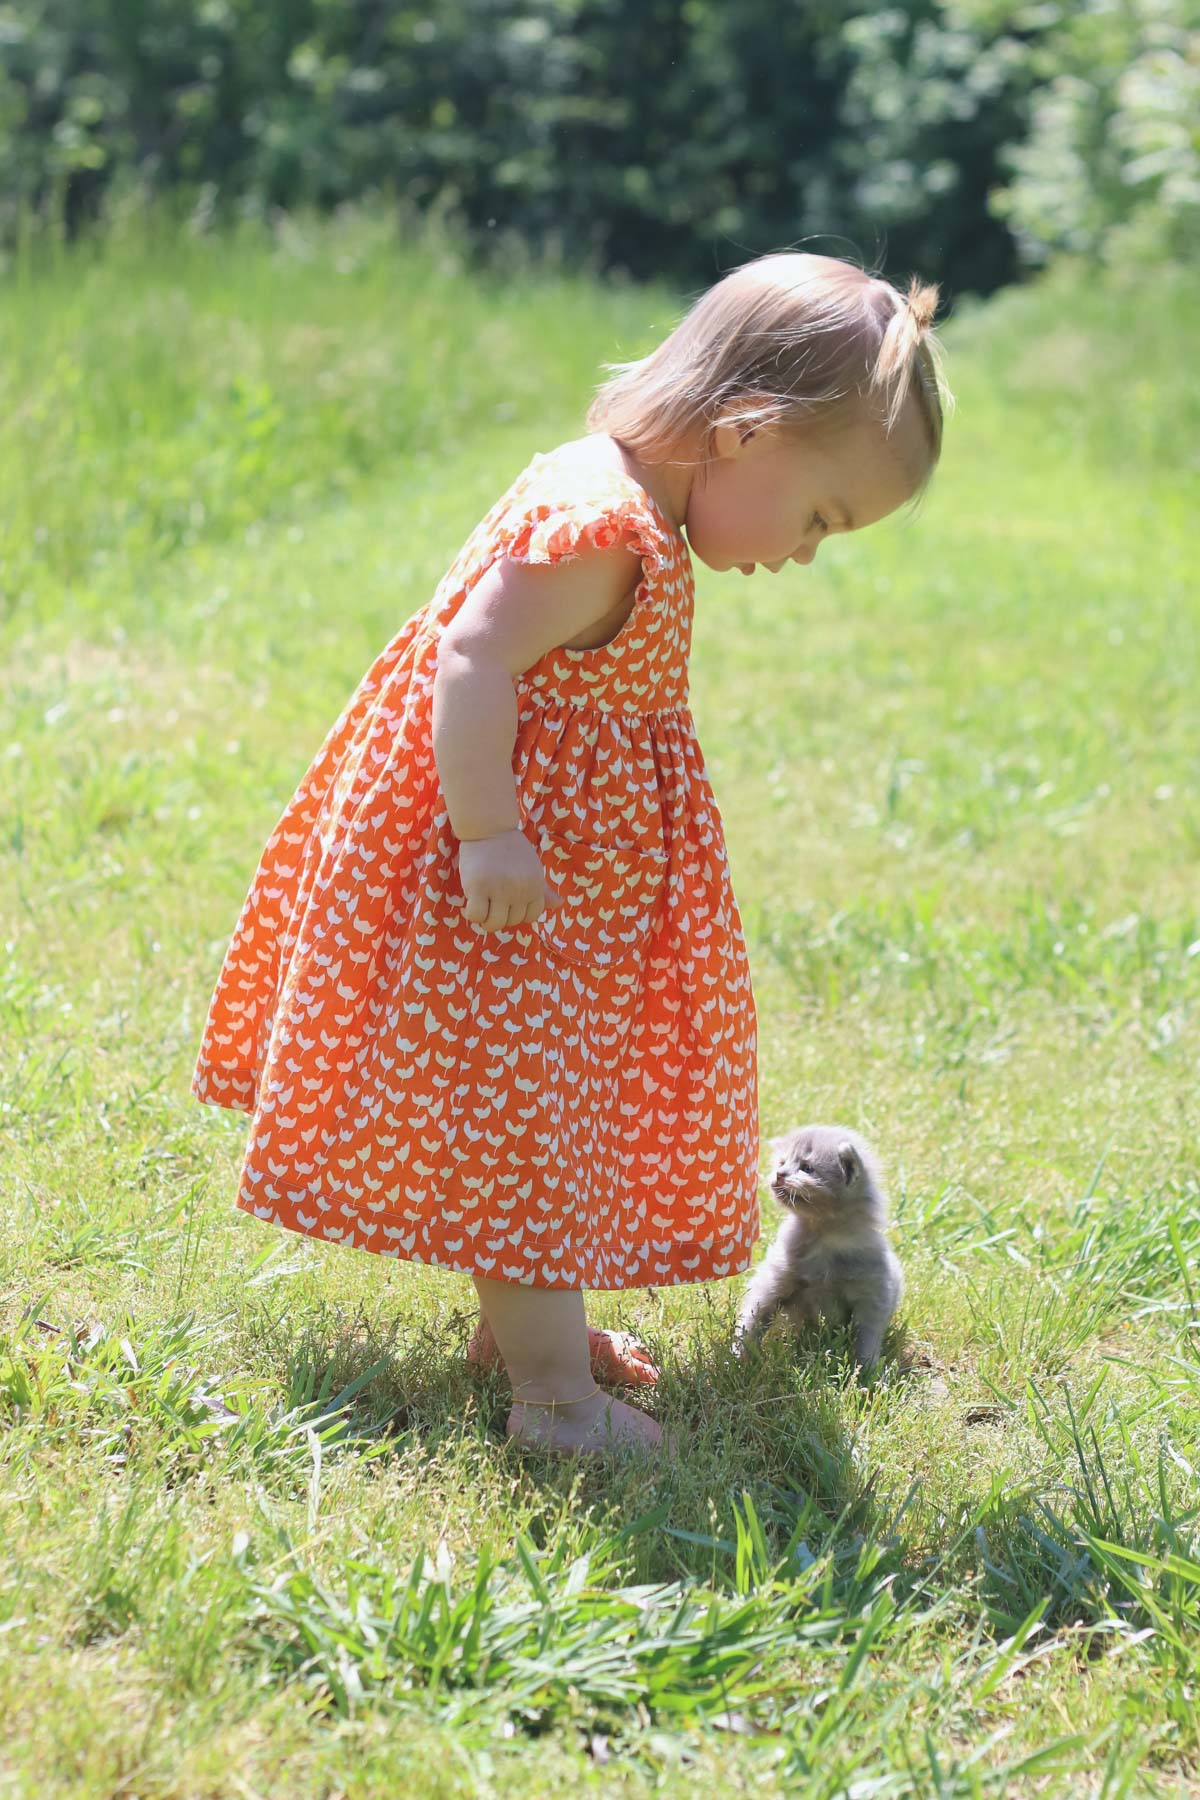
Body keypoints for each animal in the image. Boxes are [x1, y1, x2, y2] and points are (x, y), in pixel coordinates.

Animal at [734, 1123, 899, 1360]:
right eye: (782, 1162)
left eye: (806, 1167)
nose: (779, 1174)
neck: (823, 1236)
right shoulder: (773, 1284)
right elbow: (753, 1318)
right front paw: (741, 1357)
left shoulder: (872, 1296)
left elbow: (867, 1338)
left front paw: (866, 1367)